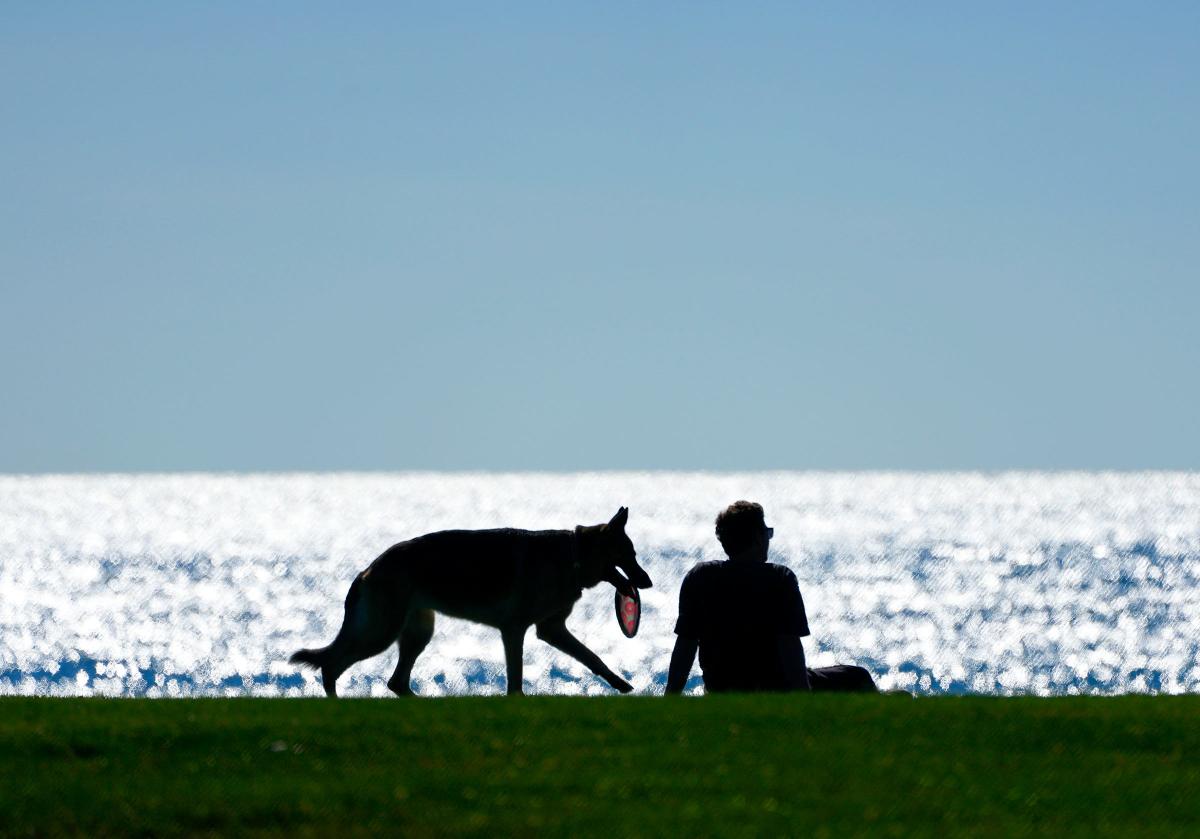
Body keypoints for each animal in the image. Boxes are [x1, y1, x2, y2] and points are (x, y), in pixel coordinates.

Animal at [289, 508, 652, 700]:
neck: (574, 555)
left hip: (416, 633)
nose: (647, 582)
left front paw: (621, 684)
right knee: (332, 664)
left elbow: (593, 658)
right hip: (381, 633)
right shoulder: (515, 630)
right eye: (628, 555)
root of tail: (368, 568)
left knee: (396, 681)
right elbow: (515, 678)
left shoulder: (550, 630)